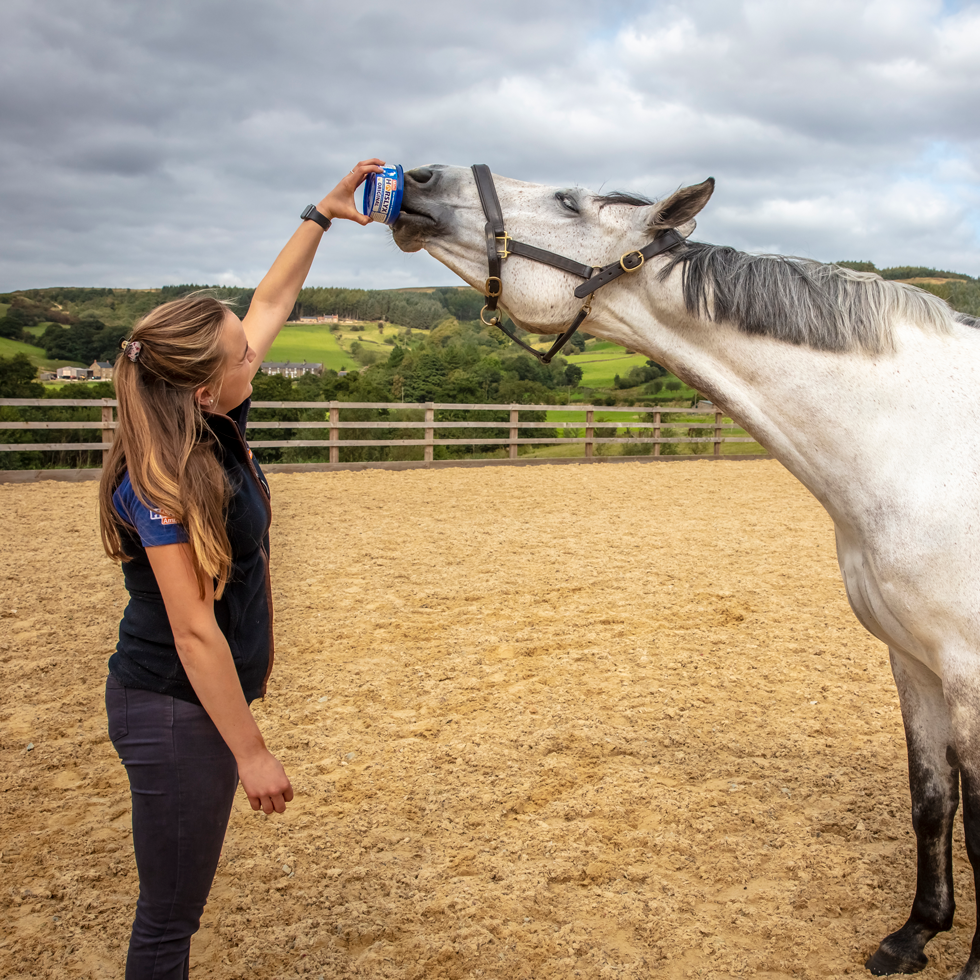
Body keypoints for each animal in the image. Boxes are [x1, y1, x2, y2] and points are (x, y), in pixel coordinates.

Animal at [392, 164, 980, 978]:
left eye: (568, 201)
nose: (417, 179)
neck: (923, 442)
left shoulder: (970, 670)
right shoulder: (913, 660)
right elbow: (931, 802)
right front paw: (916, 933)